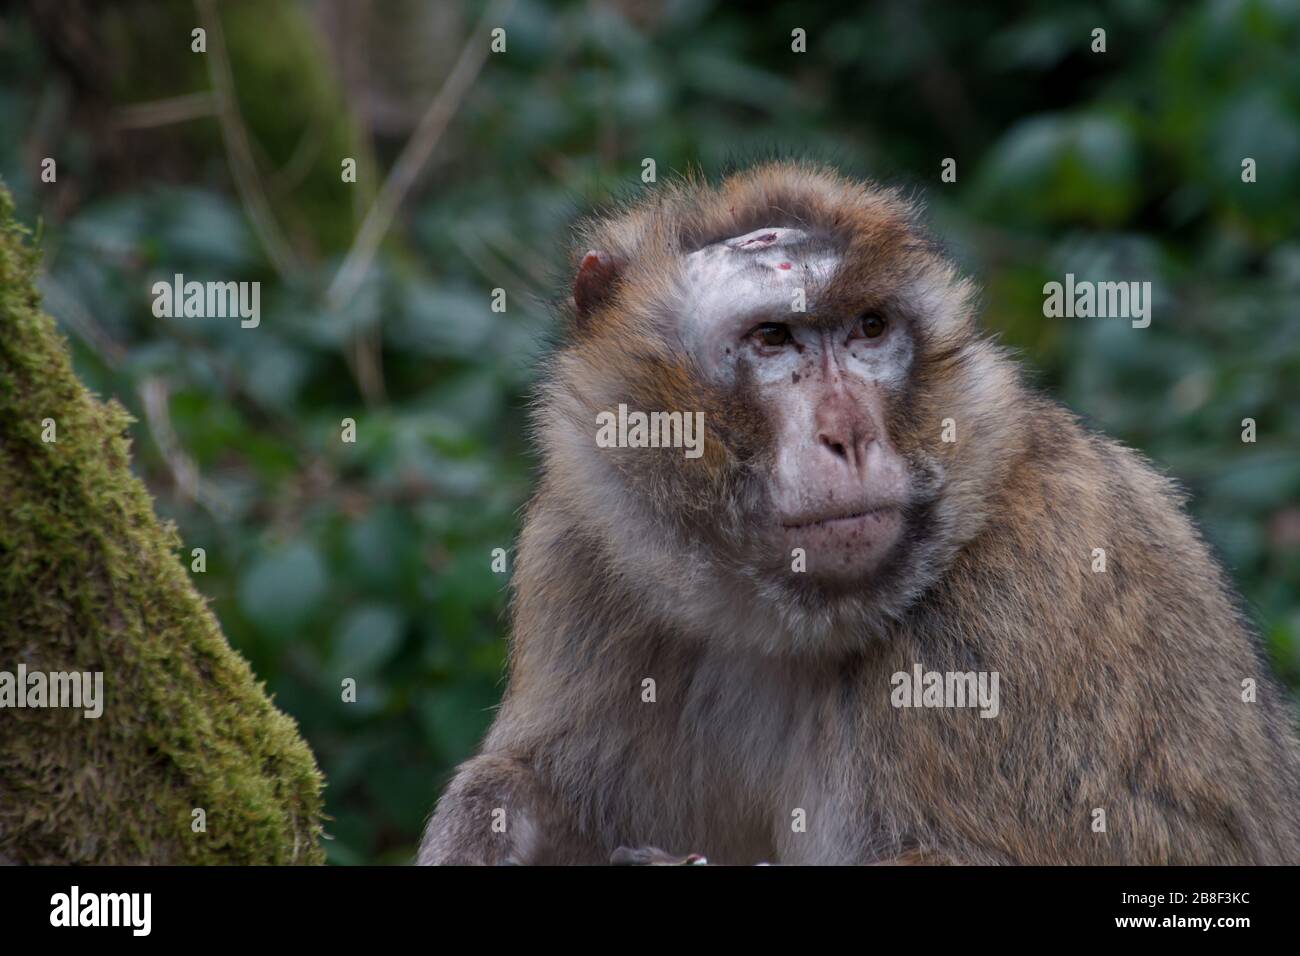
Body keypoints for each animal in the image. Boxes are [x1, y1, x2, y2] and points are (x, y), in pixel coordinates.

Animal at [418, 161, 1300, 865]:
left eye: (869, 328)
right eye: (774, 338)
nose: (848, 434)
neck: (776, 624)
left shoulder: (1023, 590)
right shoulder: (583, 541)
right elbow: (534, 782)